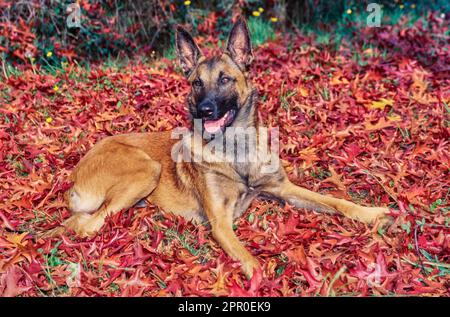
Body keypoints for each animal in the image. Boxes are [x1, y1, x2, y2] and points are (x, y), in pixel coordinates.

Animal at [43, 18, 386, 278]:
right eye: (196, 83)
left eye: (225, 79)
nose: (205, 110)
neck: (236, 149)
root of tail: (75, 172)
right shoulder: (221, 223)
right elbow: (251, 260)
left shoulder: (284, 189)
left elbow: (335, 201)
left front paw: (373, 214)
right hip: (147, 169)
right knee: (84, 225)